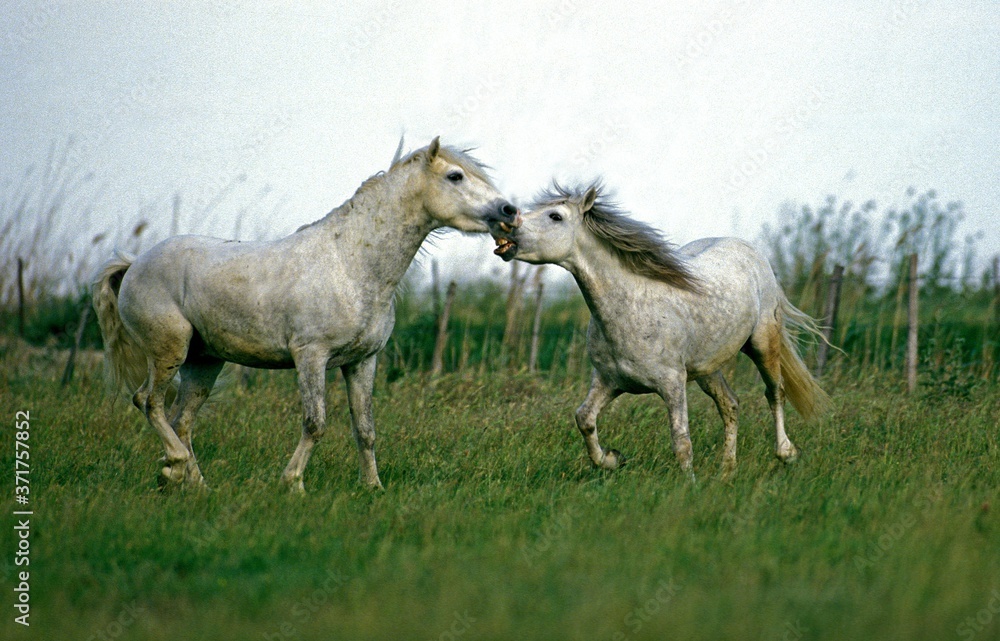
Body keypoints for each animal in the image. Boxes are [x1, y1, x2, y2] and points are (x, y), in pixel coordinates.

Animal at [92, 137, 519, 492]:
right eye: (455, 176)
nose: (509, 211)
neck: (351, 265)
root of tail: (134, 264)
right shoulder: (311, 356)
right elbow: (315, 423)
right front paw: (293, 483)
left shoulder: (362, 361)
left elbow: (365, 429)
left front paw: (373, 488)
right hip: (169, 351)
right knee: (149, 402)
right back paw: (176, 467)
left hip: (204, 361)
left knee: (182, 419)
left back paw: (191, 483)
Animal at [490, 181, 828, 481]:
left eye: (555, 216)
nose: (503, 224)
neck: (629, 309)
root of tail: (751, 251)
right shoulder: (608, 380)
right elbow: (584, 418)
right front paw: (612, 459)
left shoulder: (672, 384)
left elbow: (681, 441)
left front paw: (688, 487)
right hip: (707, 368)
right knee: (730, 405)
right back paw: (726, 472)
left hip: (762, 342)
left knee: (775, 392)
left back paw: (786, 453)